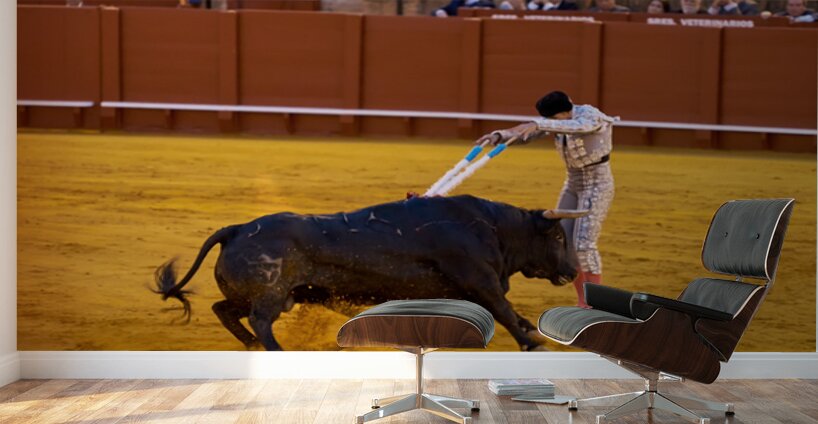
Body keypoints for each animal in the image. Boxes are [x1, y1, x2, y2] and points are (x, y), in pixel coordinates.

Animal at [154, 194, 586, 351]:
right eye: (558, 237)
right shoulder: (481, 281)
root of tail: (239, 228)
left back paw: (252, 346)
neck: (492, 227)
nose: (572, 270)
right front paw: (532, 342)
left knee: (223, 310)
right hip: (271, 294)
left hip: (255, 294)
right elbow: (505, 311)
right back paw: (274, 351)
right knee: (260, 319)